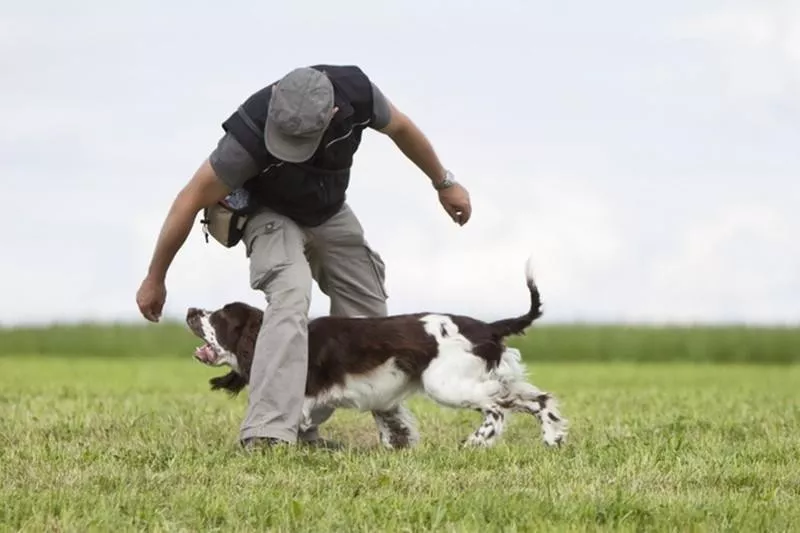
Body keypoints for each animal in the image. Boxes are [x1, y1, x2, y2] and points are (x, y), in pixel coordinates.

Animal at [186, 256, 568, 446]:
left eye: (219, 316)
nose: (190, 310)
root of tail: (487, 326)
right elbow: (392, 423)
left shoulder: (303, 398)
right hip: (494, 379)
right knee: (540, 401)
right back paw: (553, 439)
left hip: (447, 384)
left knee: (497, 409)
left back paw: (475, 442)